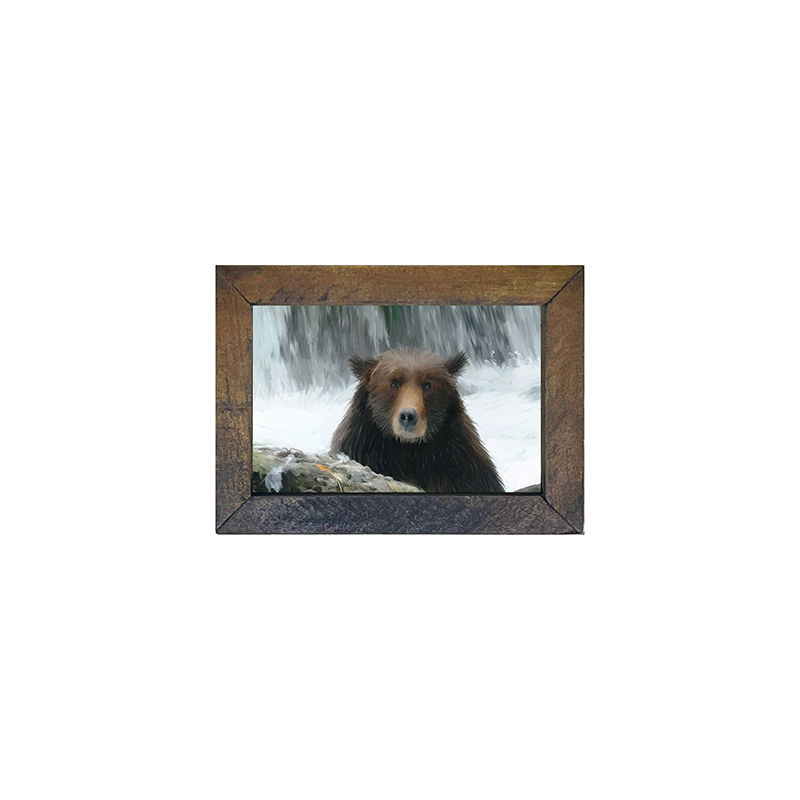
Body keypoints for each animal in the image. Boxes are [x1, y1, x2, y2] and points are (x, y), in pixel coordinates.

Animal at [330, 347, 505, 493]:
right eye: (393, 382)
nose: (408, 416)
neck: (409, 450)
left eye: (427, 385)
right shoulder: (361, 446)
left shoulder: (461, 466)